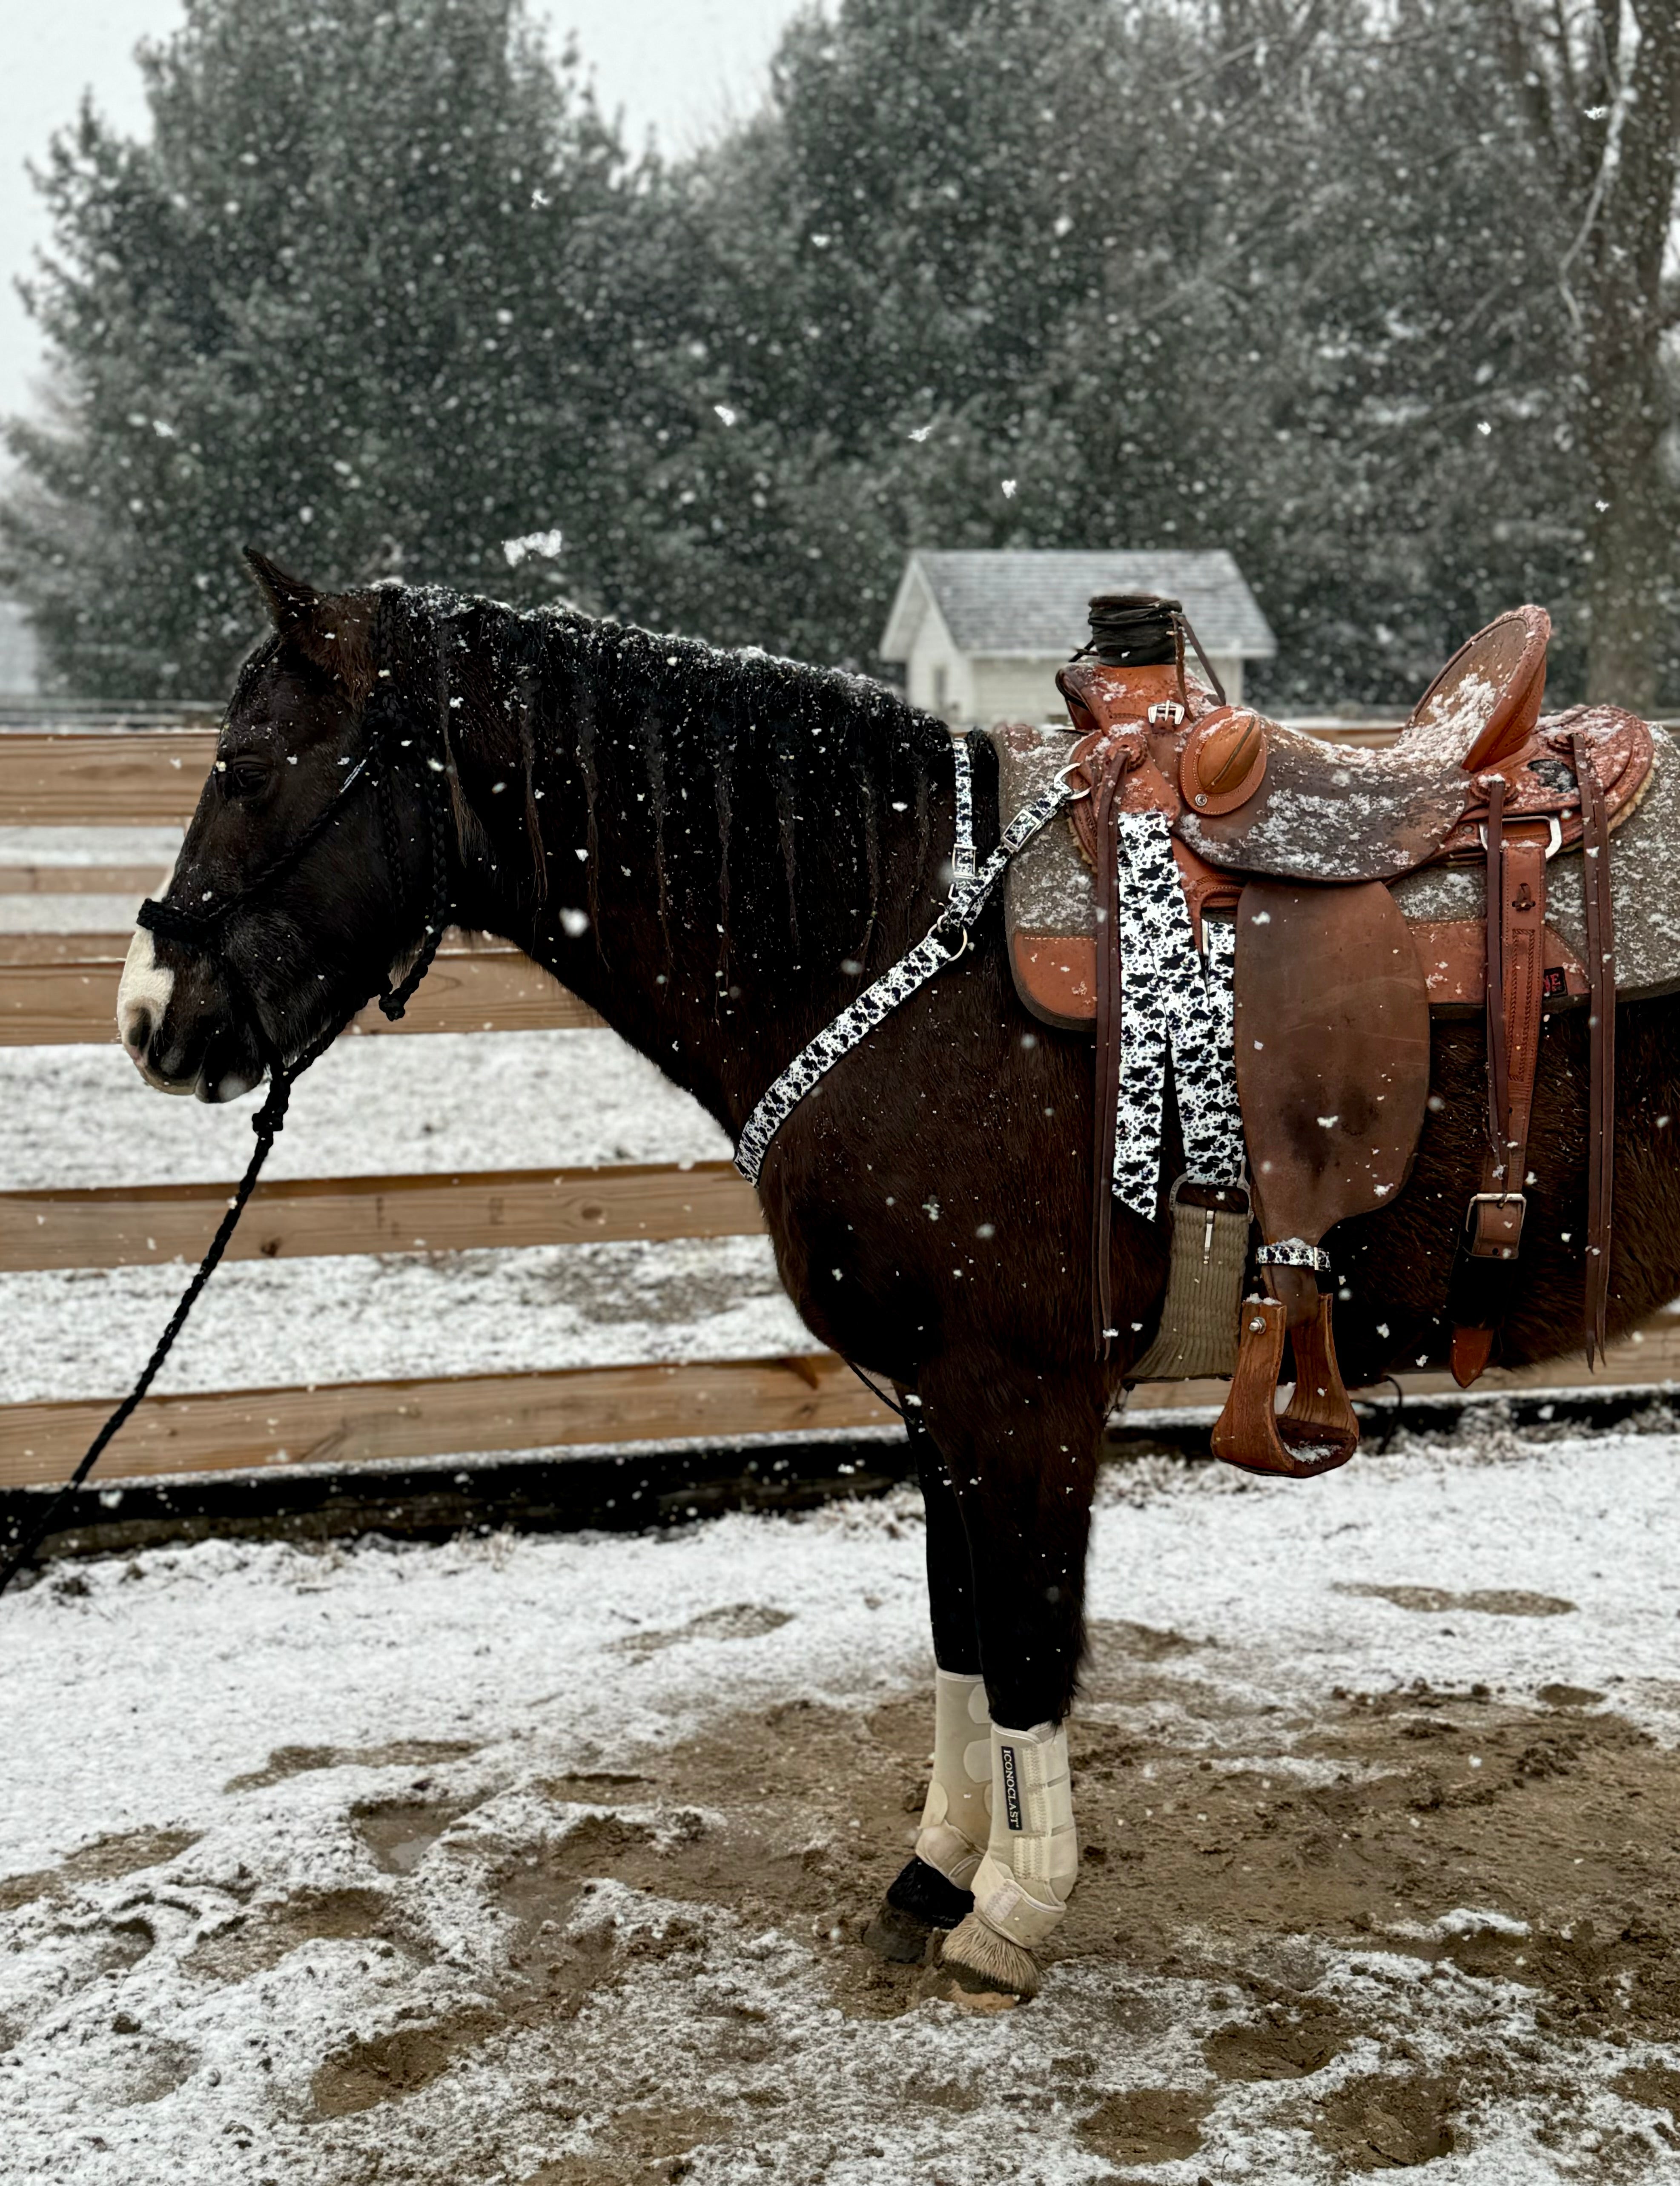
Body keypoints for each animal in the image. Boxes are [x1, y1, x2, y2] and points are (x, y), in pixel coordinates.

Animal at [121, 559, 1680, 2002]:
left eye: (246, 767)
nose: (150, 1020)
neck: (897, 944)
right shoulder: (941, 1399)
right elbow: (959, 1632)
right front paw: (936, 1871)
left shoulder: (1020, 1391)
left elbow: (1029, 1642)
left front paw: (1013, 1912)